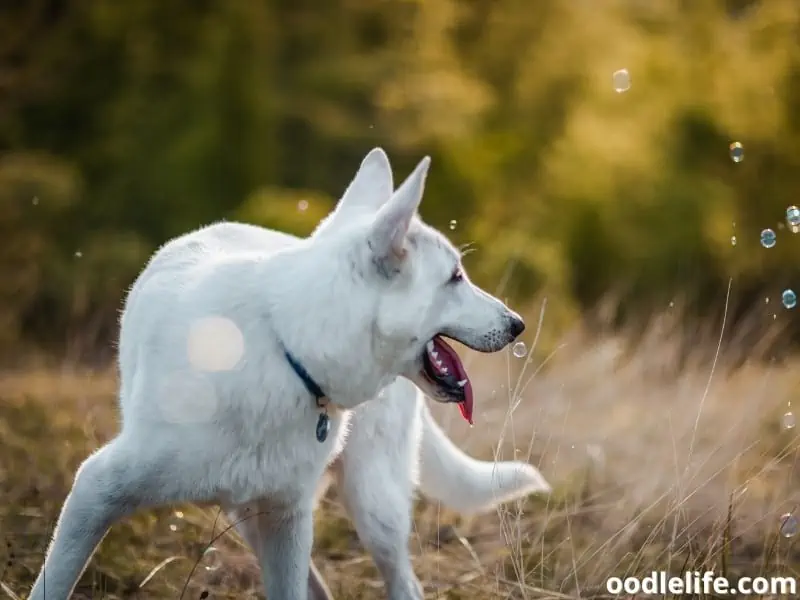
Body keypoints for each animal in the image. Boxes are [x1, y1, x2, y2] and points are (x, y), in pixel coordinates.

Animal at [31, 149, 528, 600]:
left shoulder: (286, 519)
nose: (518, 324)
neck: (288, 348)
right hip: (259, 518)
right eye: (455, 277)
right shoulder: (97, 488)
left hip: (371, 507)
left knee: (403, 583)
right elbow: (53, 582)